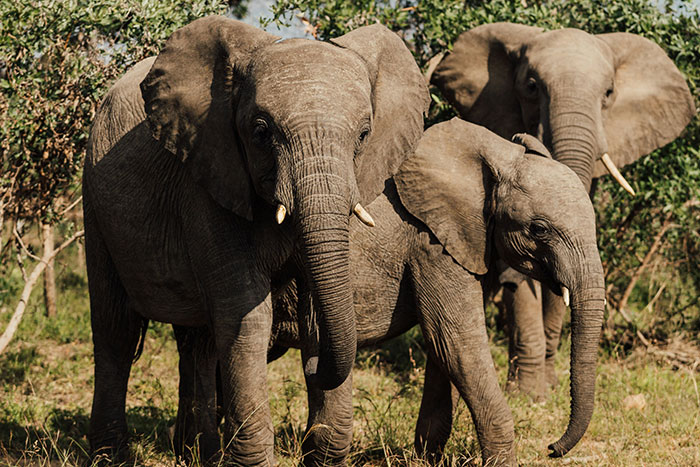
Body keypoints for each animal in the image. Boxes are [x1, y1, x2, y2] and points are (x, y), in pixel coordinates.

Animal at [82, 16, 428, 464]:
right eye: (261, 132)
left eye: (364, 135)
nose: (314, 369)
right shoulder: (208, 177)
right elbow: (247, 316)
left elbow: (317, 312)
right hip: (94, 199)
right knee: (116, 330)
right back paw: (114, 457)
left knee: (198, 340)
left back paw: (199, 454)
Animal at [267, 118, 606, 464]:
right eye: (539, 229)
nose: (552, 448)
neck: (495, 154)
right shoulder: (432, 244)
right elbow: (456, 342)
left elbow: (443, 351)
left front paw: (426, 459)